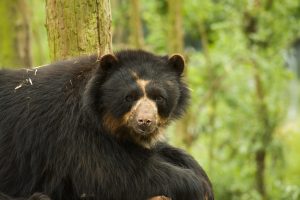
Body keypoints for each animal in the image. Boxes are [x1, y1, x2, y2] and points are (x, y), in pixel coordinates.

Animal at [0, 50, 213, 200]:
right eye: (129, 97)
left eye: (159, 97)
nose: (145, 121)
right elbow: (117, 176)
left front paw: (199, 173)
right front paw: (199, 187)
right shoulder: (75, 134)